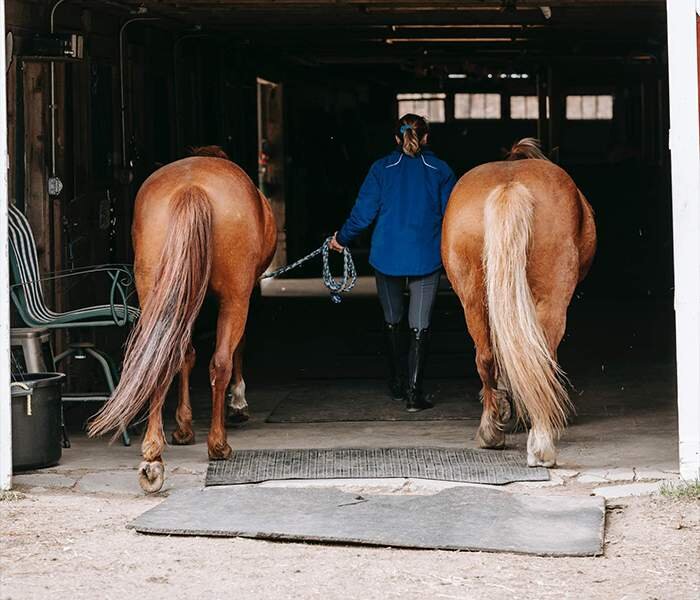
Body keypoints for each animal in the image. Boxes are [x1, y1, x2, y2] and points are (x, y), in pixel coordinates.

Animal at [90, 146, 278, 492]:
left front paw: (183, 427)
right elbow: (235, 348)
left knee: (157, 360)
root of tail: (191, 189)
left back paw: (153, 458)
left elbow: (184, 356)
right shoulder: (242, 295)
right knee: (220, 361)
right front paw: (237, 404)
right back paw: (218, 445)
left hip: (156, 294)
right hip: (234, 298)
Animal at [442, 138, 596, 466]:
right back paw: (539, 442)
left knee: (486, 357)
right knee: (541, 357)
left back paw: (493, 432)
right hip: (551, 298)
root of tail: (510, 186)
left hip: (473, 297)